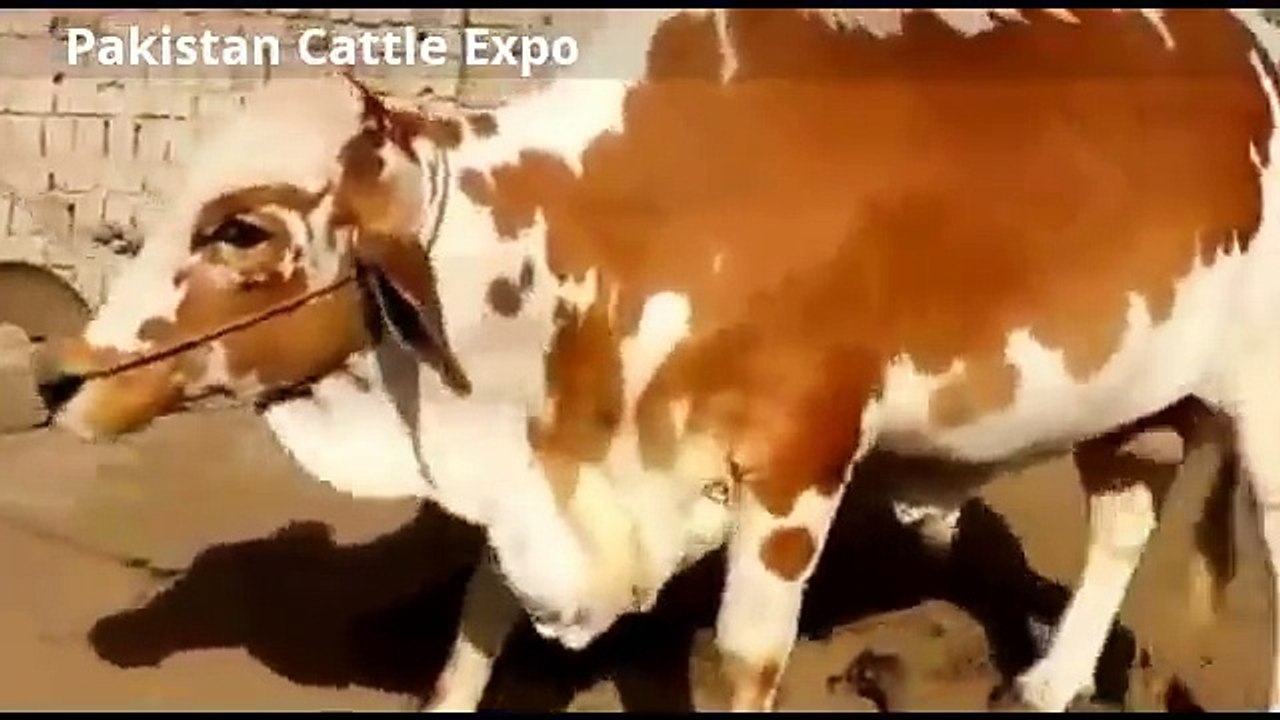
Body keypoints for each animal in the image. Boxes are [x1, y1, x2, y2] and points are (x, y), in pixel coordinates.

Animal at [27, 7, 1280, 712]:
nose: (58, 377)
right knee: (1122, 519)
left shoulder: (797, 460)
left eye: (241, 229)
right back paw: (1050, 683)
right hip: (1131, 398)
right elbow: (477, 618)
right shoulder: (544, 463)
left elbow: (742, 660)